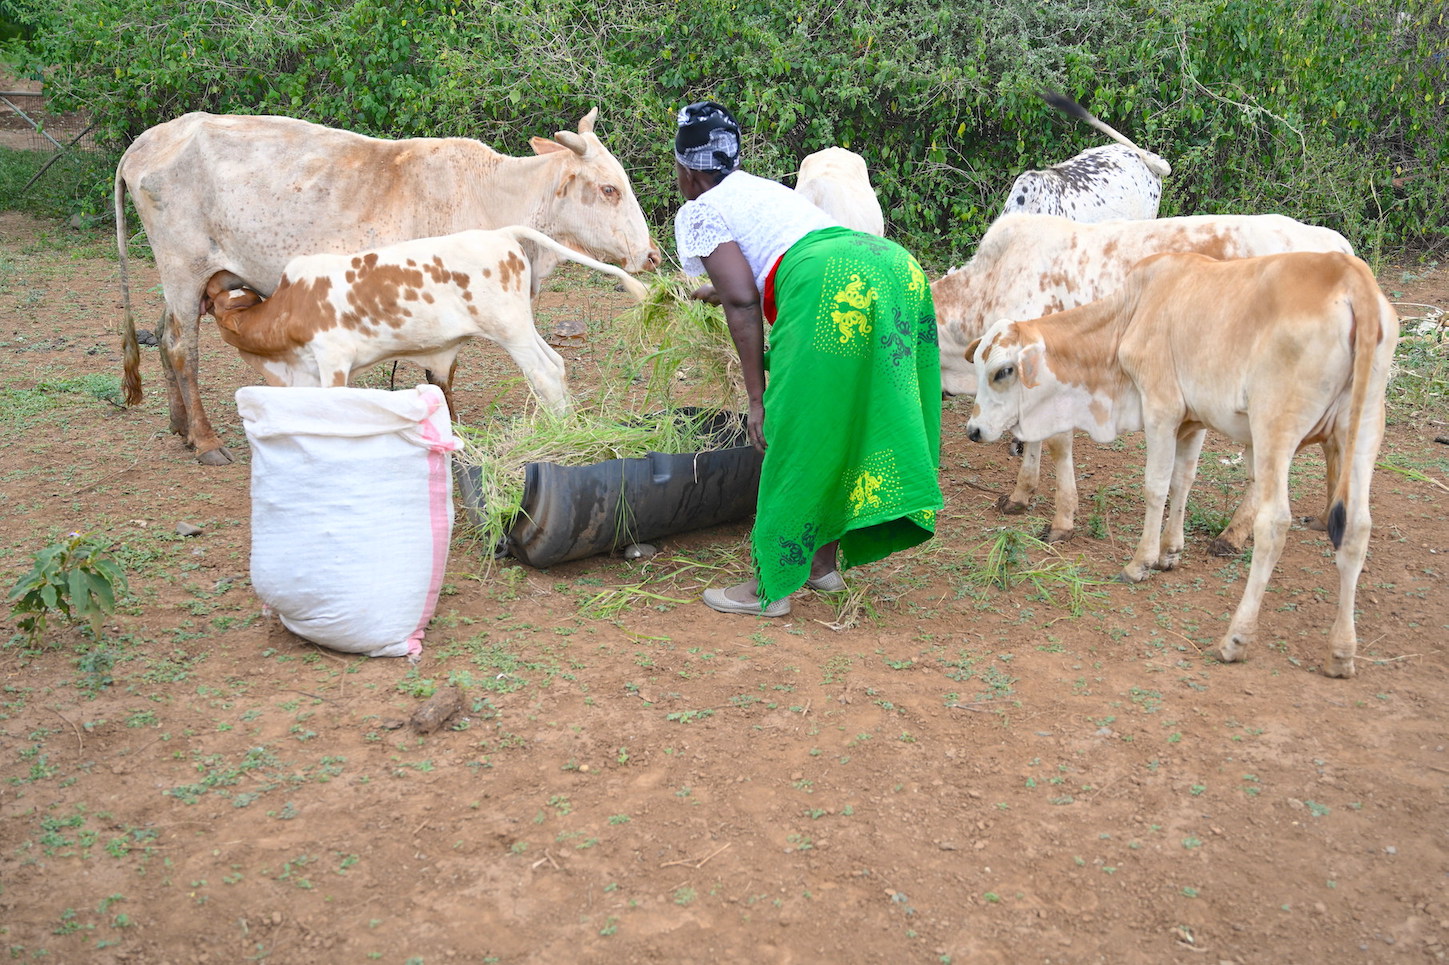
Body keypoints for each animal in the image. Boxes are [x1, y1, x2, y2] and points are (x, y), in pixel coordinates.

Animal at [197, 228, 646, 417]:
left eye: (213, 305)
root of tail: (500, 233)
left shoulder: (334, 361)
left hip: (510, 331)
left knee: (543, 373)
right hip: (523, 327)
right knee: (556, 364)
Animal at [967, 252, 1396, 681]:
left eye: (1002, 372)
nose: (973, 430)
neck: (1132, 311)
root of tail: (1348, 275)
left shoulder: (1162, 409)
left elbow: (1156, 485)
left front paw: (1141, 562)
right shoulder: (1193, 422)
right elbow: (1182, 481)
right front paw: (1170, 552)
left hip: (1275, 428)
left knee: (1274, 525)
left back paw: (1235, 638)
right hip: (1365, 427)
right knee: (1357, 528)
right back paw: (1340, 652)